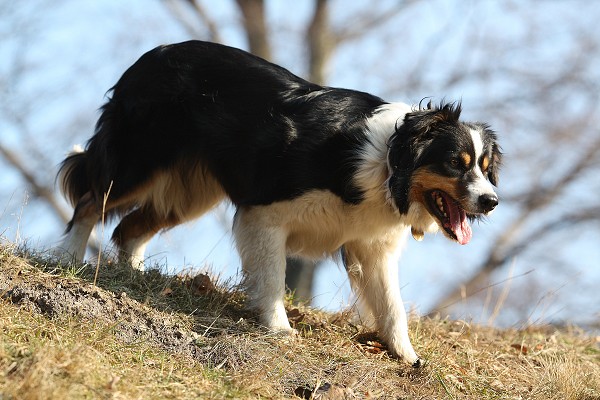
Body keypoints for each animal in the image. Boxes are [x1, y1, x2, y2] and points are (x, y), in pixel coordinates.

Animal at [55, 39, 502, 366]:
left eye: (485, 167)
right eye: (455, 163)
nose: (492, 201)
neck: (388, 162)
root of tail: (149, 57)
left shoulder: (373, 244)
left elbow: (391, 305)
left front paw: (408, 358)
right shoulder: (265, 212)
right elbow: (272, 278)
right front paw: (279, 330)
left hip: (189, 194)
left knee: (128, 229)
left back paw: (136, 276)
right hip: (139, 160)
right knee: (91, 200)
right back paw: (68, 259)